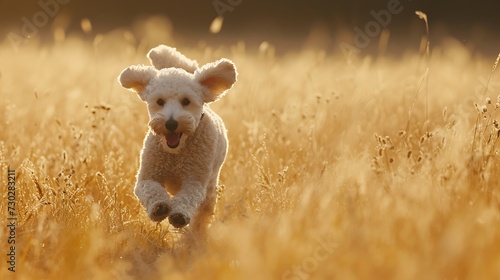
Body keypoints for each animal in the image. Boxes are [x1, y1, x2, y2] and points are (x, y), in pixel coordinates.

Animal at [118, 45, 237, 234]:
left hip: (210, 186)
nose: (171, 123)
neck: (175, 153)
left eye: (186, 101)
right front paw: (159, 207)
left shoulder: (194, 180)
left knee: (204, 211)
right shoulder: (146, 176)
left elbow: (188, 197)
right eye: (160, 101)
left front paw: (179, 216)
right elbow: (150, 189)